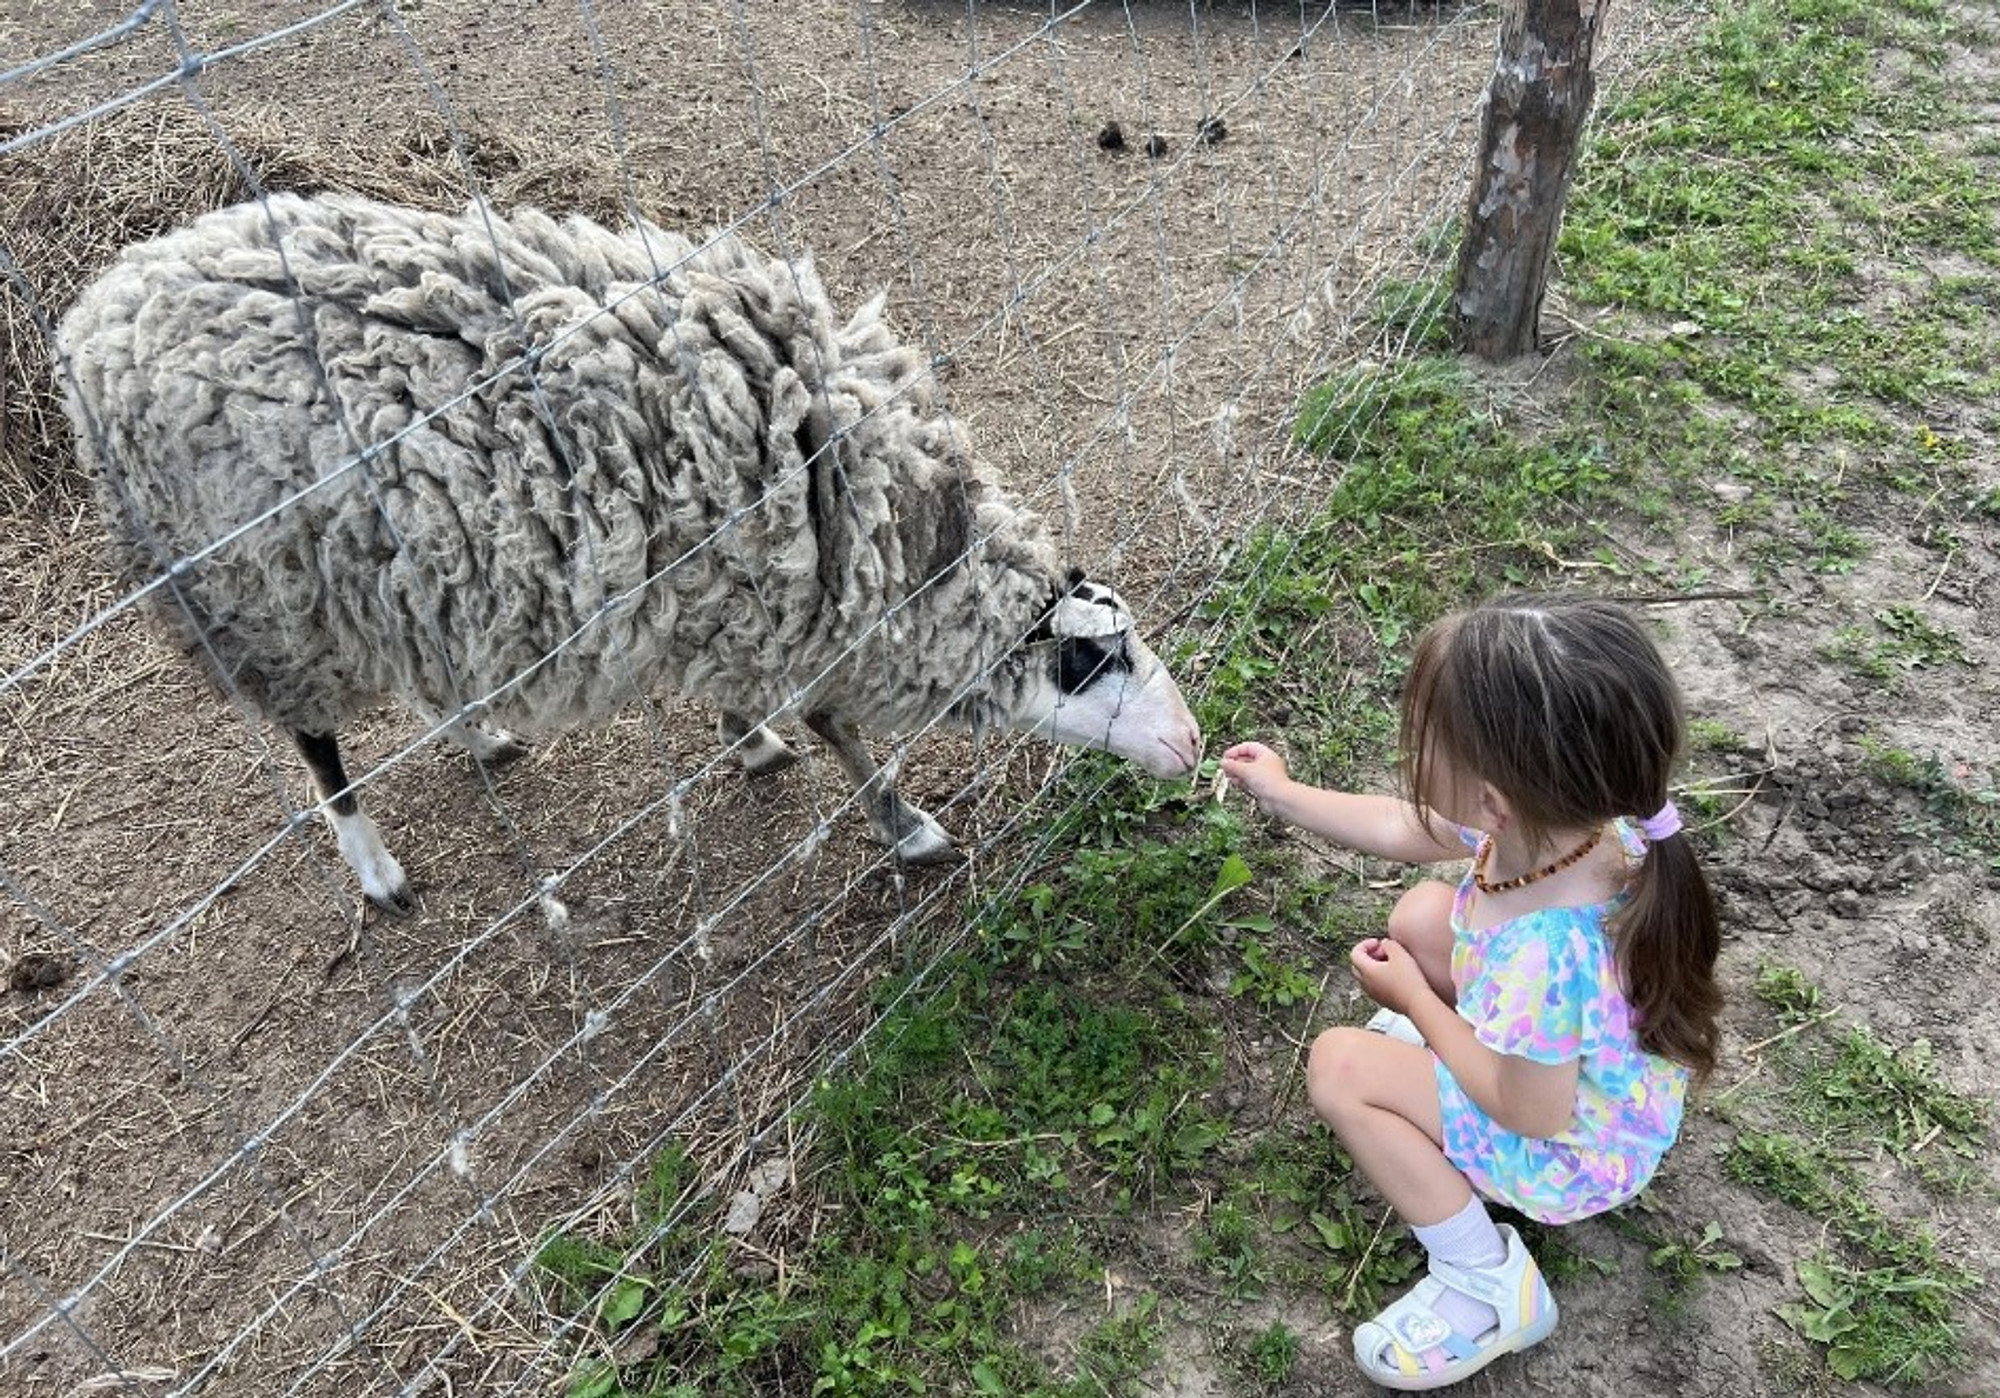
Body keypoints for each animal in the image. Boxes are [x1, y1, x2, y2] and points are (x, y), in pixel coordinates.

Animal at [58, 194, 1200, 920]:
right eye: (1086, 665)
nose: (1192, 744)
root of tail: (93, 315)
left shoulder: (747, 592)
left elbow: (766, 704)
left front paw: (749, 741)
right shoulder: (789, 593)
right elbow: (832, 721)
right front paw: (902, 824)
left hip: (385, 571)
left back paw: (479, 734)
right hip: (255, 596)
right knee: (315, 745)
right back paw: (375, 867)